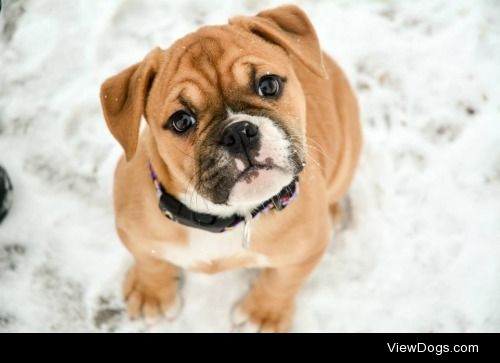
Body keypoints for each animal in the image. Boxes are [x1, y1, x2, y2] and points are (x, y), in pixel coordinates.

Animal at [99, 4, 362, 332]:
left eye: (269, 85)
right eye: (181, 120)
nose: (238, 132)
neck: (220, 218)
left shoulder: (307, 249)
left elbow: (282, 282)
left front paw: (263, 315)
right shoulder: (131, 229)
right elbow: (149, 259)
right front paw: (152, 293)